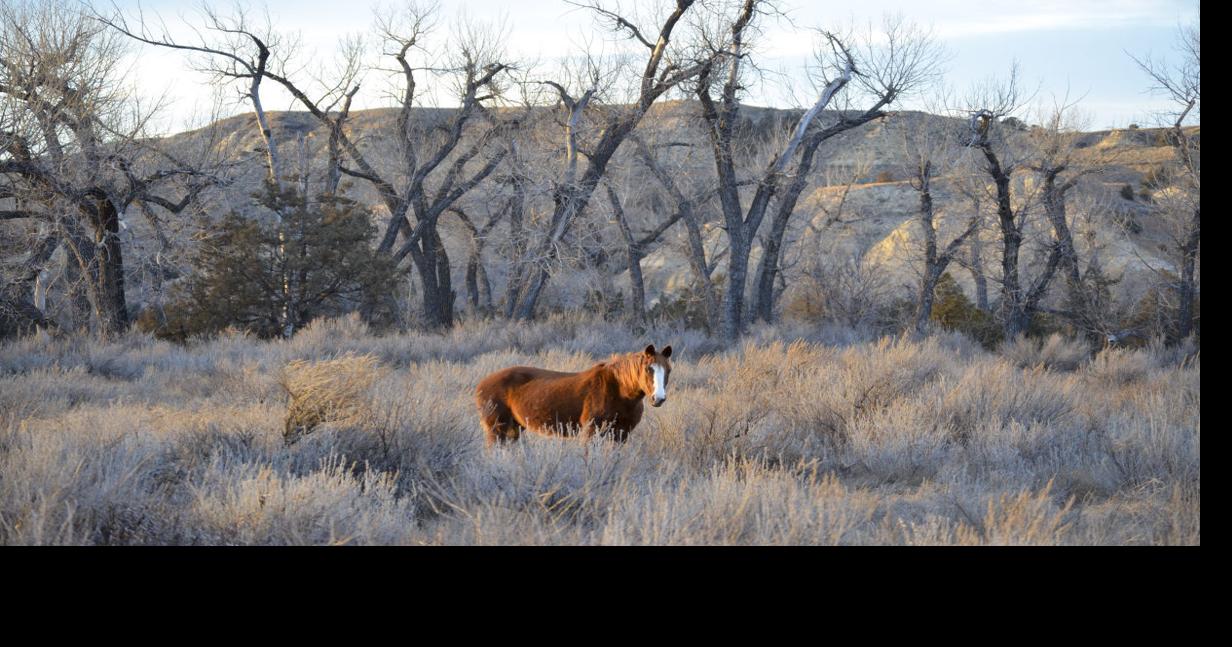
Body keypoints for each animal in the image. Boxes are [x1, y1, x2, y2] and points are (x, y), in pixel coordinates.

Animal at [475, 344, 673, 447]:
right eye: (648, 369)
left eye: (669, 370)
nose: (658, 398)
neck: (618, 391)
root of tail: (481, 385)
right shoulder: (590, 432)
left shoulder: (621, 434)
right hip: (496, 429)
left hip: (514, 428)